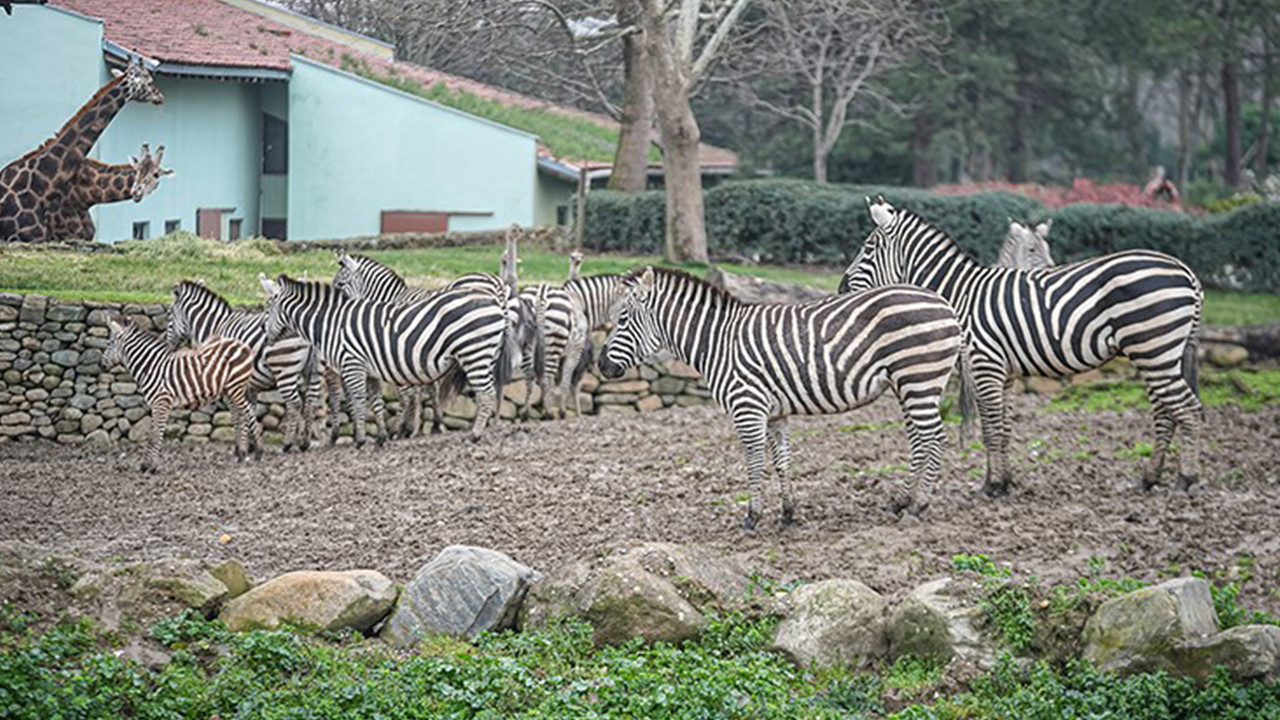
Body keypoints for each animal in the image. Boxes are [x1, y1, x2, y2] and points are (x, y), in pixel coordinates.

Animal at [101, 319, 260, 472]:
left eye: (109, 344)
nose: (101, 364)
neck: (152, 367)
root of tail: (241, 344)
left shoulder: (161, 402)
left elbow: (154, 435)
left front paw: (148, 466)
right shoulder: (156, 404)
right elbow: (155, 433)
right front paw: (150, 465)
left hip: (236, 387)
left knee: (246, 412)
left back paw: (253, 451)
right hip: (230, 390)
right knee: (239, 414)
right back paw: (240, 453)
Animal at [166, 280, 324, 452]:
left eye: (169, 314)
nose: (168, 345)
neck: (215, 327)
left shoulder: (227, 383)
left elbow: (236, 412)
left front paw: (239, 445)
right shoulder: (249, 385)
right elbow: (250, 411)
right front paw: (251, 443)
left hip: (285, 370)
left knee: (294, 404)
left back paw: (288, 443)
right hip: (314, 371)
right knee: (311, 402)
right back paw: (305, 442)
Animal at [259, 273, 513, 446]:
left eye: (268, 307)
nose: (262, 329)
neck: (333, 324)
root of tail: (495, 299)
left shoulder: (352, 364)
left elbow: (357, 401)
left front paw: (360, 439)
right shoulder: (369, 370)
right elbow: (376, 402)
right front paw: (381, 436)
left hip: (474, 353)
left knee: (486, 393)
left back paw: (475, 434)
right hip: (485, 355)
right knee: (490, 392)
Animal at [599, 267, 964, 528]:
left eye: (623, 319)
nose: (601, 366)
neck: (718, 342)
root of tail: (943, 302)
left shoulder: (747, 407)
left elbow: (754, 462)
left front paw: (752, 516)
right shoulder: (774, 412)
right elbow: (781, 461)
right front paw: (788, 513)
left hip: (918, 377)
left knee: (935, 437)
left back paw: (917, 505)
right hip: (910, 384)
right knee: (920, 440)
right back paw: (902, 501)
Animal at [840, 196, 1203, 496]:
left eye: (867, 248)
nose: (842, 287)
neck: (960, 293)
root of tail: (1186, 270)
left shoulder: (984, 365)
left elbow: (990, 428)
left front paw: (991, 485)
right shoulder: (1006, 373)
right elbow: (1004, 427)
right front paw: (1005, 481)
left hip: (1153, 348)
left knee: (1188, 410)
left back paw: (1185, 480)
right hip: (1158, 352)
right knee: (1167, 412)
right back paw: (1150, 478)